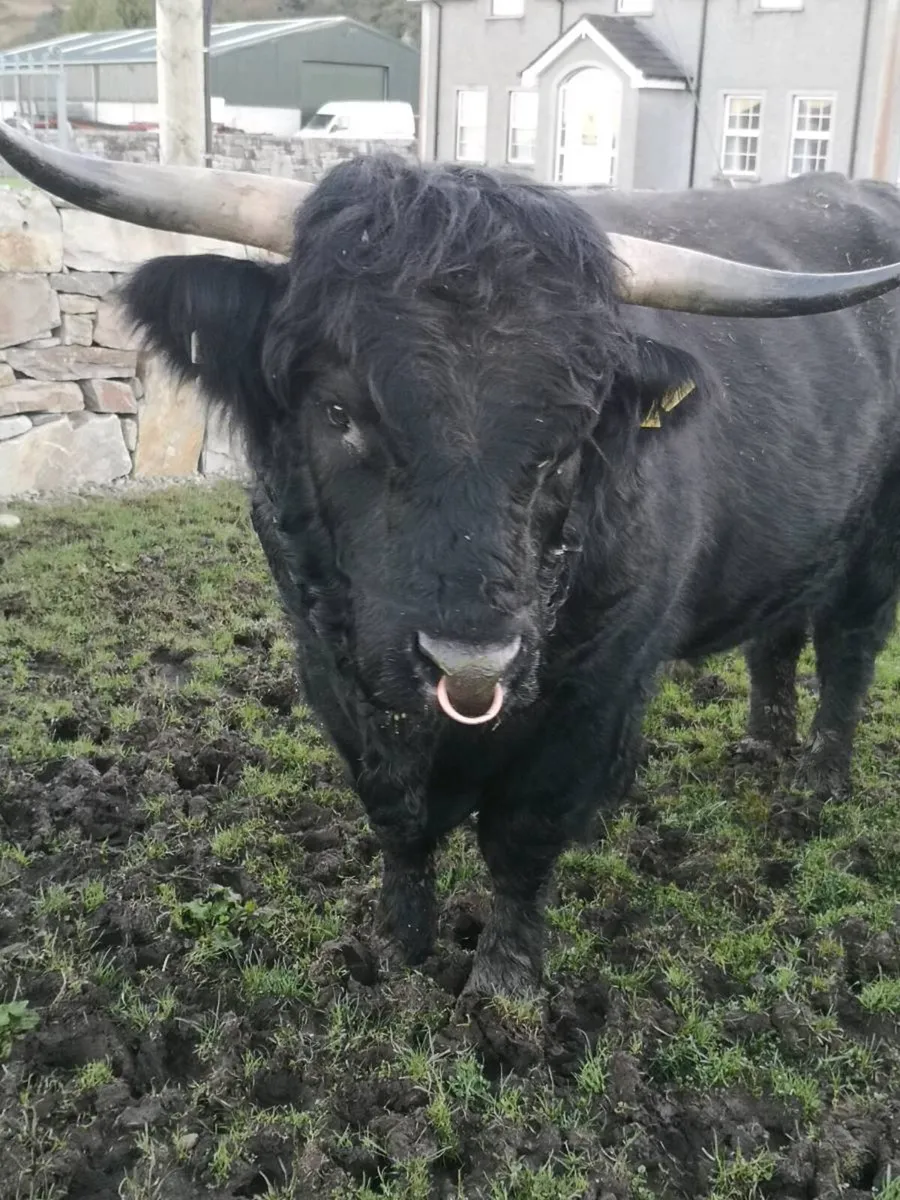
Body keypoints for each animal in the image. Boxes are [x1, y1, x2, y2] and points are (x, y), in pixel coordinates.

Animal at [3, 121, 900, 997]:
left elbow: (522, 835)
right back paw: (762, 747)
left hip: (872, 557)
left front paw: (504, 981)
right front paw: (399, 945)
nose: (470, 665)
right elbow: (397, 820)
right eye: (340, 412)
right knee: (777, 638)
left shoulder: (598, 689)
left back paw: (815, 781)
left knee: (847, 652)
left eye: (569, 441)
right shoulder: (330, 665)